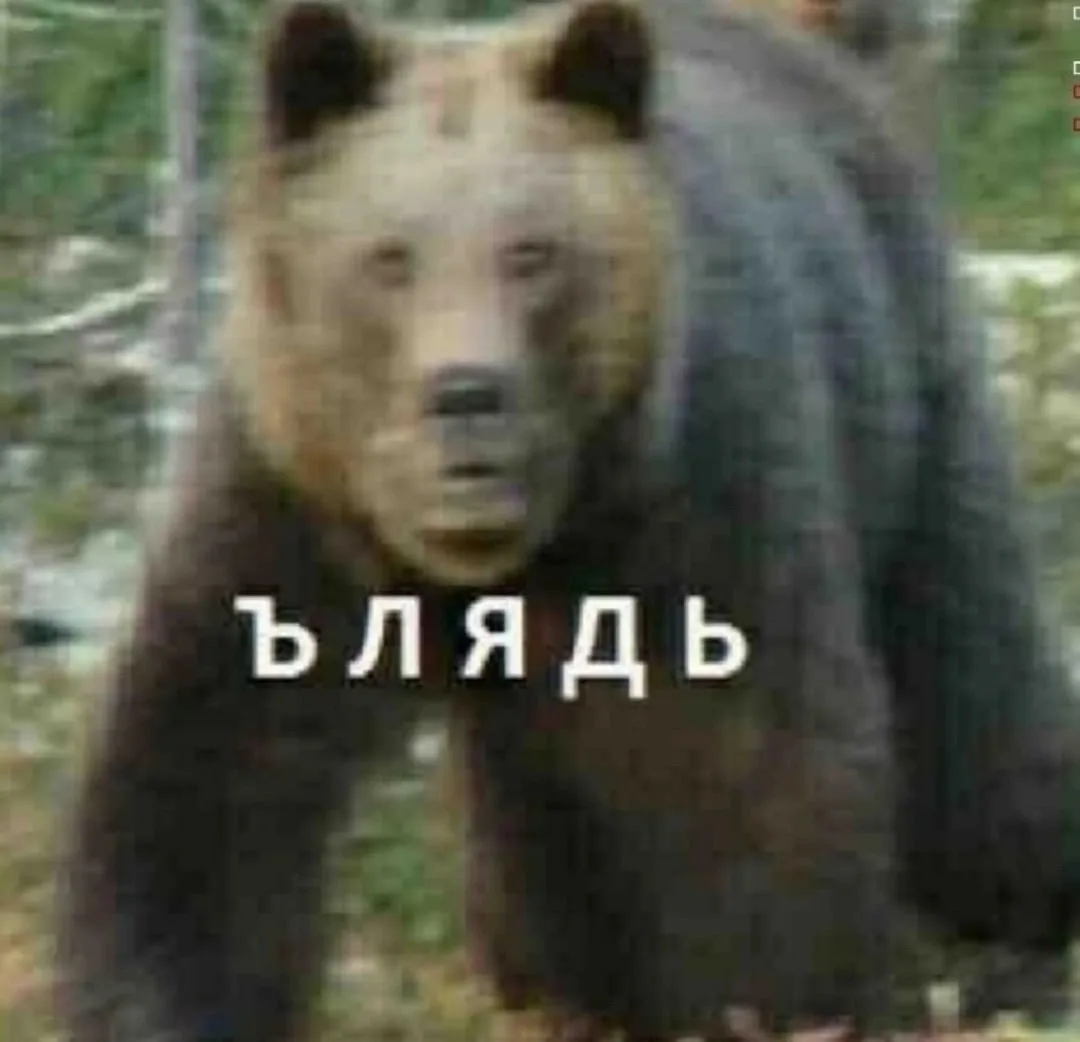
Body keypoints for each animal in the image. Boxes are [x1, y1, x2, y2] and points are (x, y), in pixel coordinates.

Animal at [54, 0, 1080, 1040]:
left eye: (531, 252)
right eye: (389, 257)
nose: (466, 396)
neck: (512, 554)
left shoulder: (699, 500)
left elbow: (753, 769)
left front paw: (773, 1004)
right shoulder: (296, 501)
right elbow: (213, 760)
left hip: (909, 388)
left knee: (969, 690)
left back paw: (1015, 927)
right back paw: (559, 984)